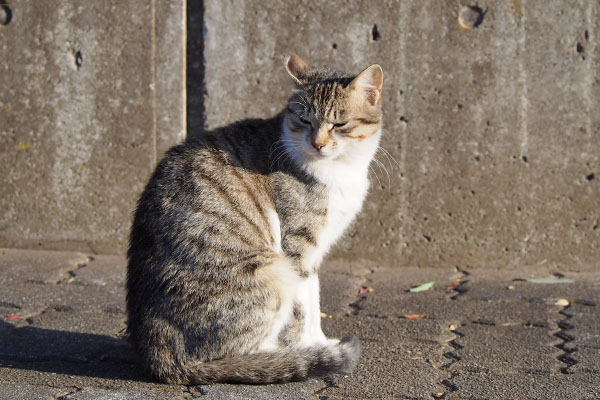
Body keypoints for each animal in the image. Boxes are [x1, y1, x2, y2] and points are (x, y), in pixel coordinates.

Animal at [125, 53, 384, 384]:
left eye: (339, 124)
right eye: (304, 121)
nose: (317, 144)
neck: (340, 170)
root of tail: (161, 358)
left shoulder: (313, 254)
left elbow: (313, 302)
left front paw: (320, 342)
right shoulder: (297, 249)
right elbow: (302, 310)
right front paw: (307, 349)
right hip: (273, 271)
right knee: (233, 354)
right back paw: (277, 358)